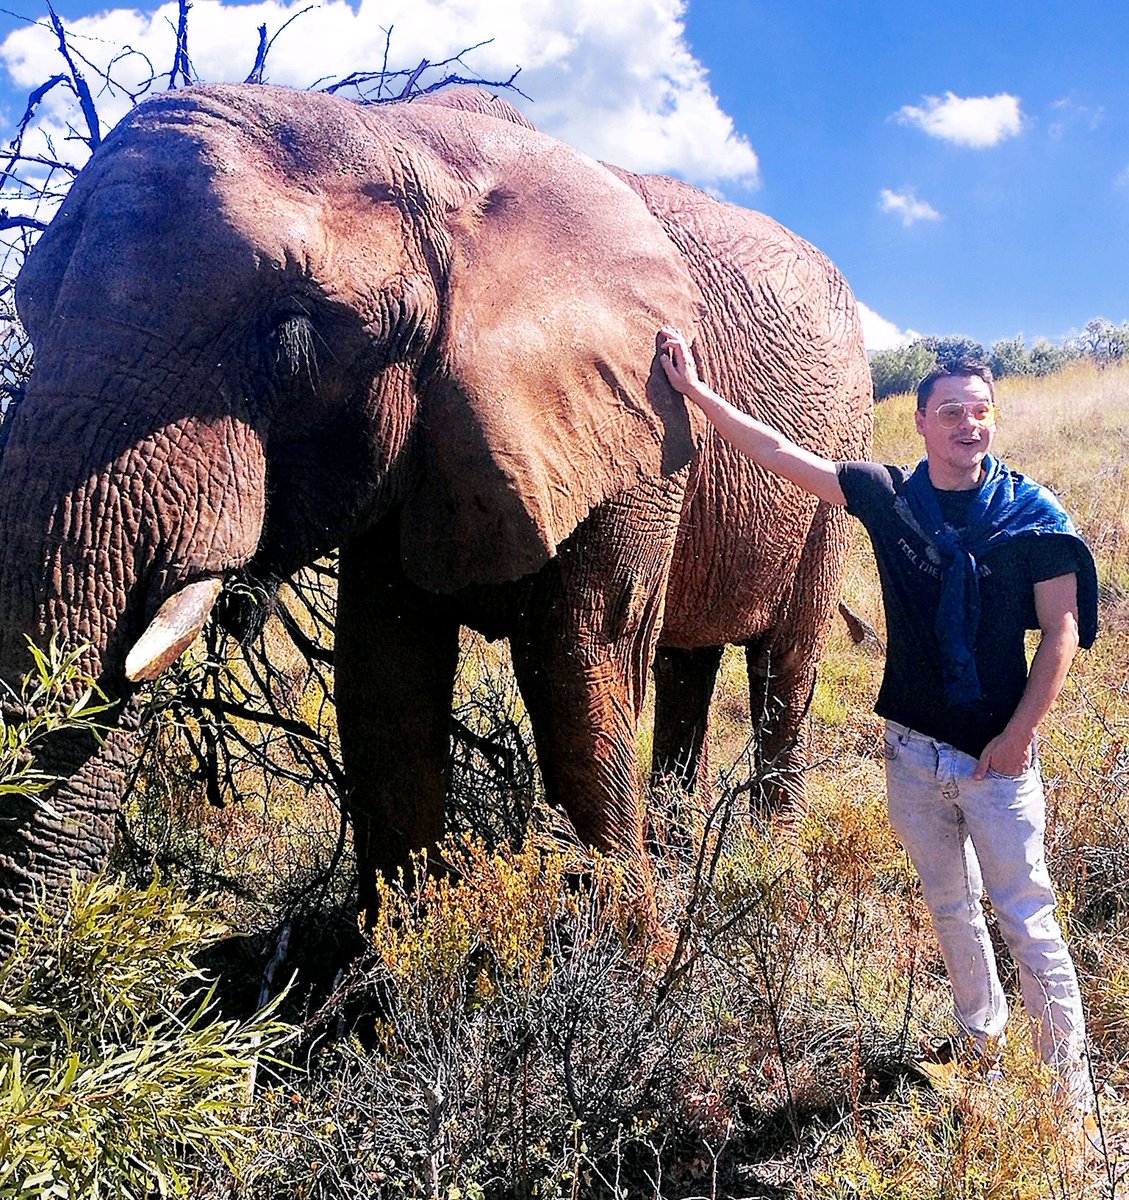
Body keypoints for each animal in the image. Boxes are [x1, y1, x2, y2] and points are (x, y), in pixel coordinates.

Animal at [0, 83, 871, 949]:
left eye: (291, 339)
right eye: (27, 309)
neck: (414, 145)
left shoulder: (640, 426)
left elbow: (581, 665)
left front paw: (631, 963)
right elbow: (385, 679)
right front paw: (398, 965)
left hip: (841, 447)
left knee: (783, 670)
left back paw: (774, 876)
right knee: (688, 666)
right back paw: (680, 853)